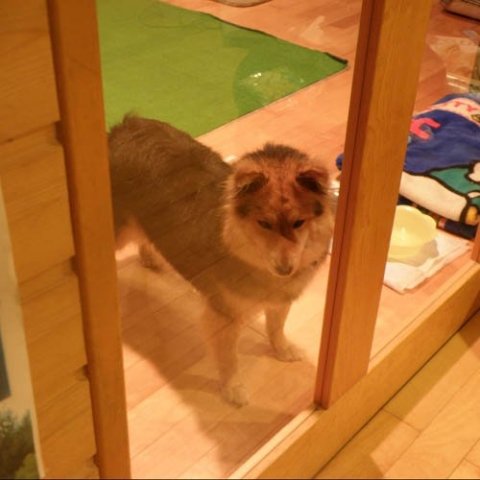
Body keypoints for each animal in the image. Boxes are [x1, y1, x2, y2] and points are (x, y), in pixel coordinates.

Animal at [109, 115, 334, 406]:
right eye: (264, 223)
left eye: (298, 223)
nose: (284, 269)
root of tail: (125, 125)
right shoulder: (224, 318)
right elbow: (229, 360)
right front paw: (232, 389)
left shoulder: (279, 300)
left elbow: (276, 328)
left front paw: (283, 350)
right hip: (117, 231)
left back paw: (150, 258)